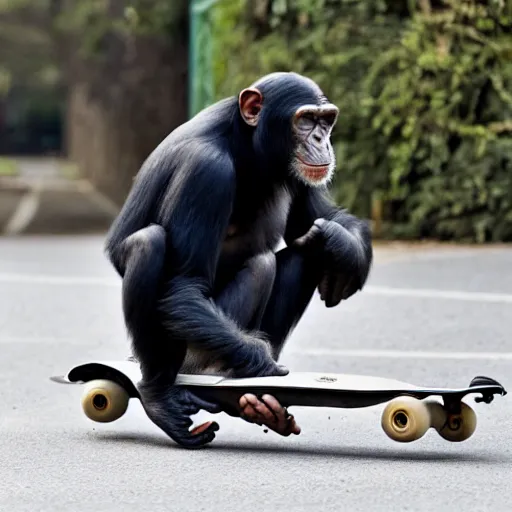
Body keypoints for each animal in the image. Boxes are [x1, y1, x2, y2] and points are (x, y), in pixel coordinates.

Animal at [105, 72, 372, 448]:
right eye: (305, 120)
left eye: (326, 120)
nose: (322, 138)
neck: (244, 145)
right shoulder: (205, 171)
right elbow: (184, 287)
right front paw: (262, 362)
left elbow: (328, 218)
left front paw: (341, 247)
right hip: (188, 361)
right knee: (151, 244)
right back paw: (163, 396)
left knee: (302, 255)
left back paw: (260, 403)